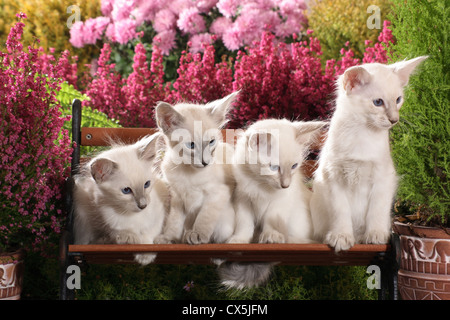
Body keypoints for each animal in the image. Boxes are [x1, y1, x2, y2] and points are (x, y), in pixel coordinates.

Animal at [73, 132, 169, 264]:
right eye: (126, 191)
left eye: (147, 184)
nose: (143, 205)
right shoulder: (108, 222)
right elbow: (122, 234)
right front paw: (130, 239)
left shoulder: (159, 215)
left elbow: (149, 236)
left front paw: (145, 256)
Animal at [154, 92, 239, 245]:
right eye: (191, 145)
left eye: (211, 142)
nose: (205, 162)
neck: (188, 172)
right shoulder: (177, 197)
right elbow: (174, 222)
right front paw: (168, 238)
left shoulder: (218, 193)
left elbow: (205, 216)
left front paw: (198, 234)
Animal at [220, 118, 326, 290]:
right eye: (274, 168)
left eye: (294, 166)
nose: (285, 185)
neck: (260, 184)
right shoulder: (242, 199)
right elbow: (244, 224)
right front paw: (239, 240)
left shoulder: (280, 202)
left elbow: (271, 219)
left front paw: (271, 237)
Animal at [312, 57, 428, 252]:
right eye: (378, 102)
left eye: (398, 100)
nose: (394, 120)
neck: (362, 134)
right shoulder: (333, 178)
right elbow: (340, 211)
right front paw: (341, 237)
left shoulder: (383, 178)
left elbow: (377, 210)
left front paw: (376, 236)